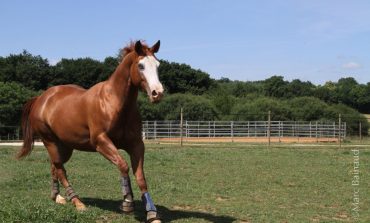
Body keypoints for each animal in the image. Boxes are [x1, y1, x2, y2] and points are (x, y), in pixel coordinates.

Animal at [16, 40, 163, 223]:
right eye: (141, 65)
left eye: (158, 65)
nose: (158, 93)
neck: (114, 103)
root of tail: (41, 99)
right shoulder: (101, 142)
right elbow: (123, 165)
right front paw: (127, 203)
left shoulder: (136, 144)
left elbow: (141, 177)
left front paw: (152, 214)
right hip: (49, 141)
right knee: (60, 169)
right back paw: (77, 202)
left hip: (64, 147)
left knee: (54, 166)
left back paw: (57, 197)